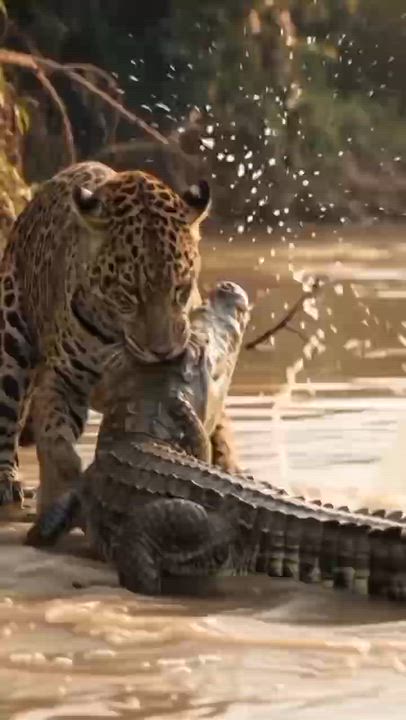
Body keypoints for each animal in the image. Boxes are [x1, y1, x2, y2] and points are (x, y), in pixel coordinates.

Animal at [0, 161, 239, 514]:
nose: (162, 352)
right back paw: (7, 481)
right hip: (10, 342)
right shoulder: (62, 378)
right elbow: (55, 437)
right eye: (129, 293)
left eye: (180, 288)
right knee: (7, 419)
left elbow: (217, 425)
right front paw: (64, 485)